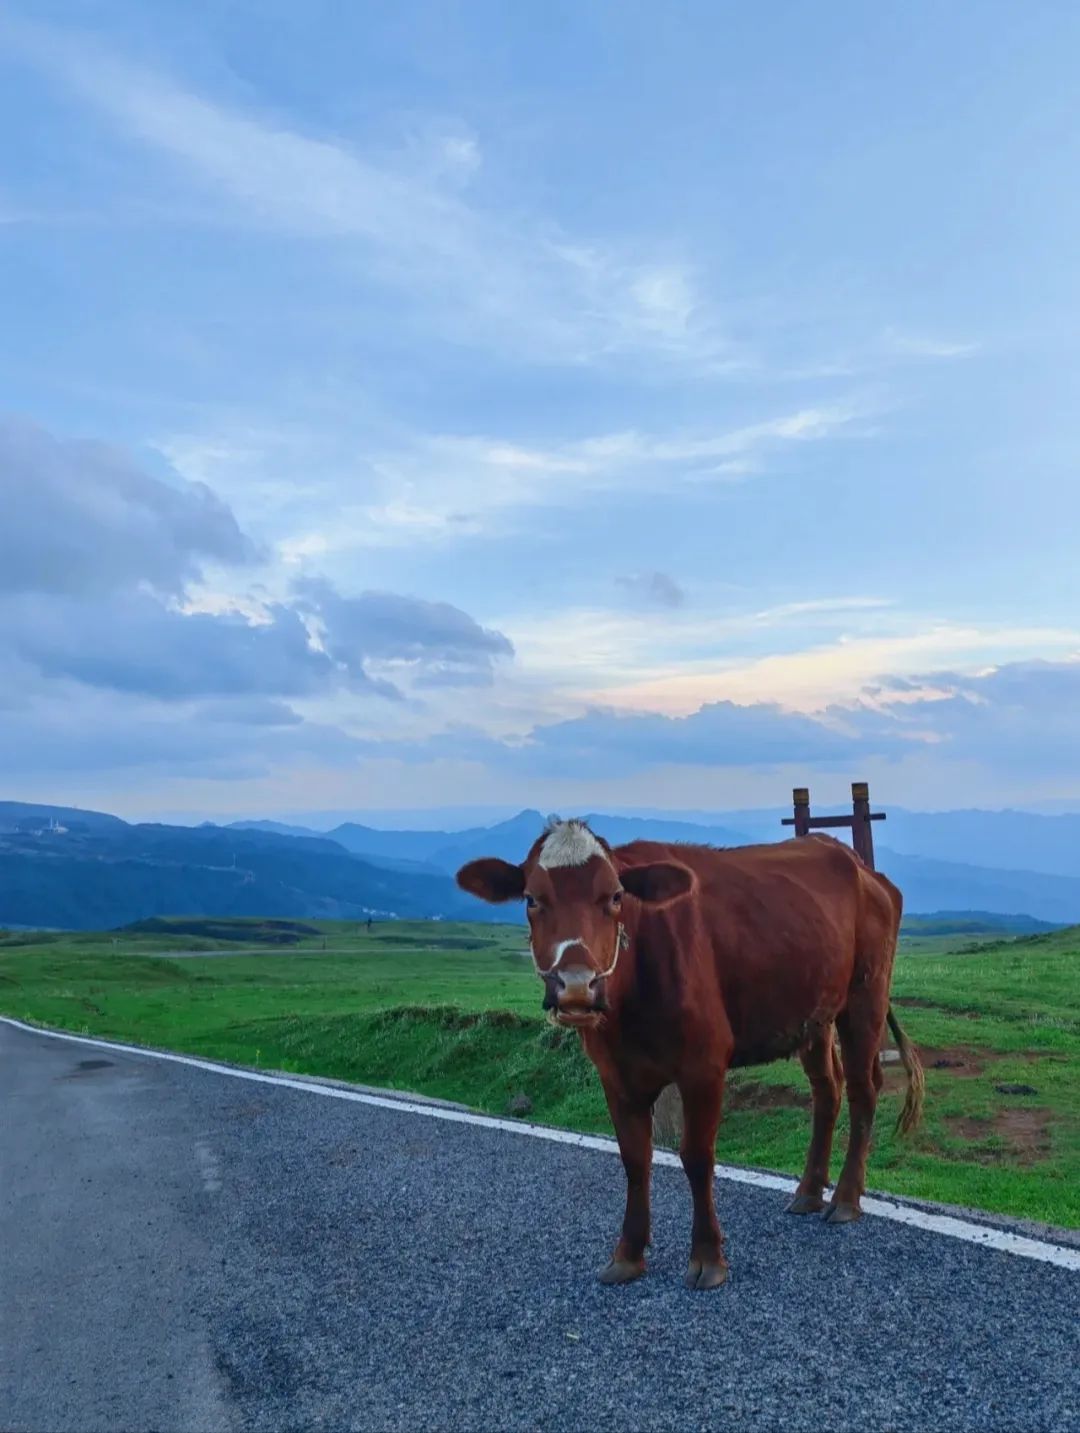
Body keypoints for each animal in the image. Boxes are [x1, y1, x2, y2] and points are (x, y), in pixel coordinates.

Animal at [455, 819, 916, 1289]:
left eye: (615, 896)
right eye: (532, 899)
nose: (577, 987)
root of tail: (857, 862)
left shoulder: (704, 1065)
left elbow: (696, 1157)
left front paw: (708, 1257)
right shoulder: (614, 1074)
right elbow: (634, 1159)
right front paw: (628, 1254)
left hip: (865, 996)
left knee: (862, 1089)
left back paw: (845, 1199)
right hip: (814, 1015)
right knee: (828, 1090)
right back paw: (807, 1192)